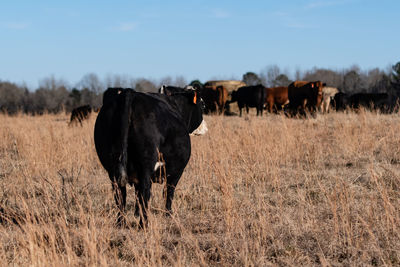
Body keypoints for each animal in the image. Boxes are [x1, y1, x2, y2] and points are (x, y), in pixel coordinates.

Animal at [94, 87, 206, 227]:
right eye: (203, 104)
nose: (205, 128)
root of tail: (130, 93)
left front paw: (136, 213)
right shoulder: (176, 172)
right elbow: (168, 192)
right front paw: (168, 214)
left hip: (112, 167)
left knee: (120, 194)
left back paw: (121, 222)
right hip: (145, 166)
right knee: (144, 191)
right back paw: (144, 224)